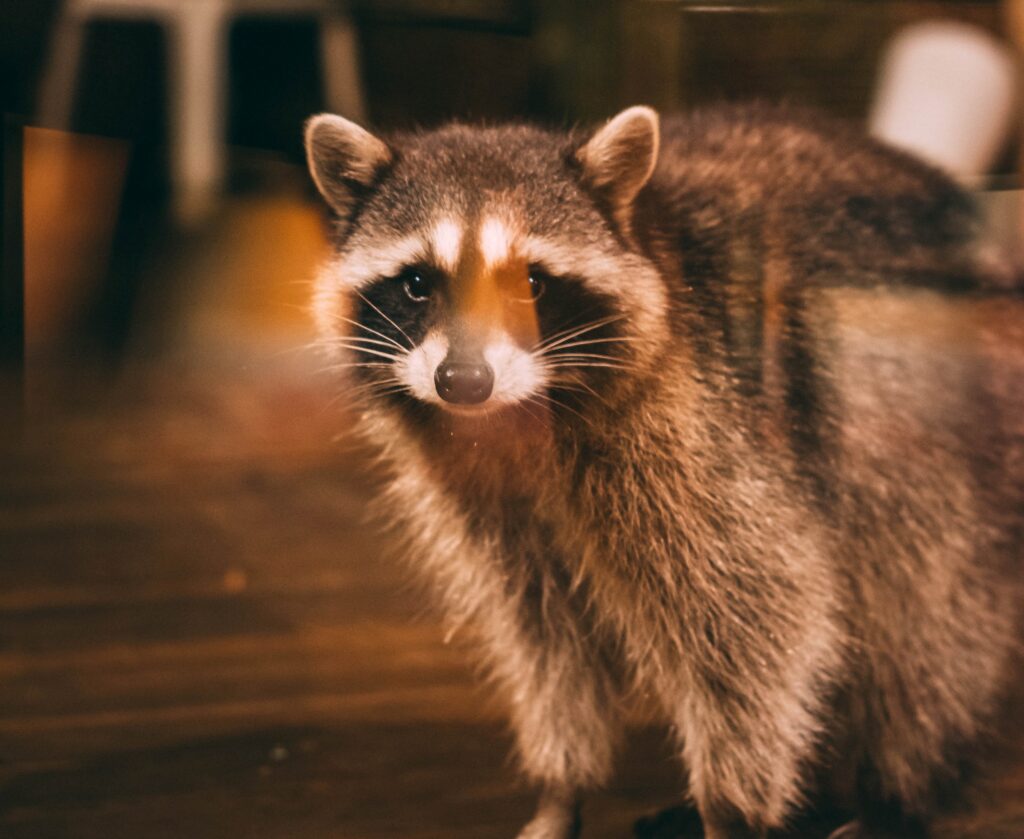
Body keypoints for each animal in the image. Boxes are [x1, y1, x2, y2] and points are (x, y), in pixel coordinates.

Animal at [304, 104, 1024, 838]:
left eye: (530, 283)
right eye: (419, 284)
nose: (464, 382)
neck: (520, 419)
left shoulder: (707, 431)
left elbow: (764, 611)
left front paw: (728, 809)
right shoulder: (496, 503)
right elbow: (546, 637)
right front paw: (562, 783)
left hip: (949, 439)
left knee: (924, 618)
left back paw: (899, 791)